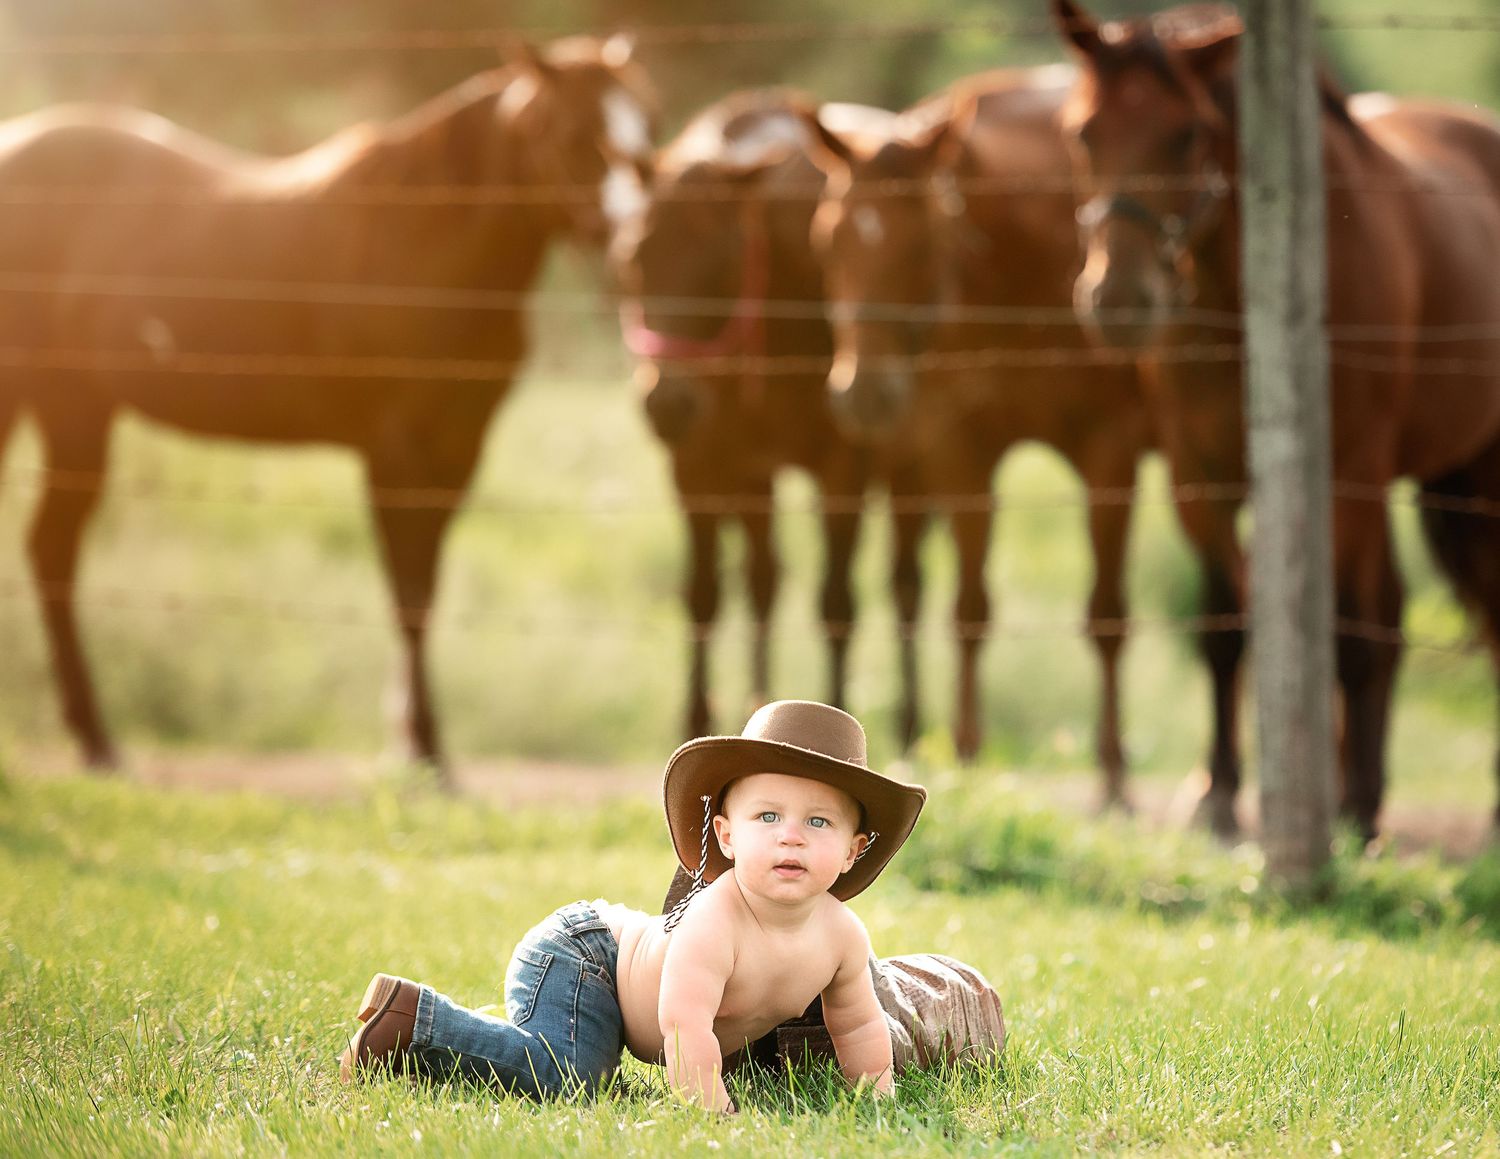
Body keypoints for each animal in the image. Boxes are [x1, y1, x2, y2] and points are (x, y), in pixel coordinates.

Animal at [0, 35, 655, 781]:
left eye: (649, 128)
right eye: (573, 134)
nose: (634, 250)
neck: (424, 243)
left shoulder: (456, 447)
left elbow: (424, 589)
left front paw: (417, 745)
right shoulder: (397, 451)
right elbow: (407, 592)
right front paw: (421, 753)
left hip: (76, 409)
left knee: (51, 549)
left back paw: (95, 740)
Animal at [612, 89, 932, 743]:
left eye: (724, 256)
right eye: (632, 256)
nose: (666, 402)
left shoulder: (842, 468)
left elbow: (837, 602)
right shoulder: (700, 465)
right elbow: (704, 593)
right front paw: (698, 716)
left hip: (908, 468)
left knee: (905, 582)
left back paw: (912, 724)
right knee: (763, 580)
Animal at [801, 69, 1157, 807]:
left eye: (923, 245)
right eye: (827, 242)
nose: (863, 392)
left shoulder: (1110, 453)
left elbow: (1108, 615)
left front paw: (1113, 777)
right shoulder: (958, 451)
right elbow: (969, 607)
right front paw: (965, 756)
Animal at [1052, 0, 1500, 837]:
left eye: (1188, 132)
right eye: (1081, 130)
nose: (1119, 299)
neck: (1246, 309)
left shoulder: (1347, 473)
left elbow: (1346, 632)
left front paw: (1354, 811)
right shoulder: (1198, 476)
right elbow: (1227, 626)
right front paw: (1218, 794)